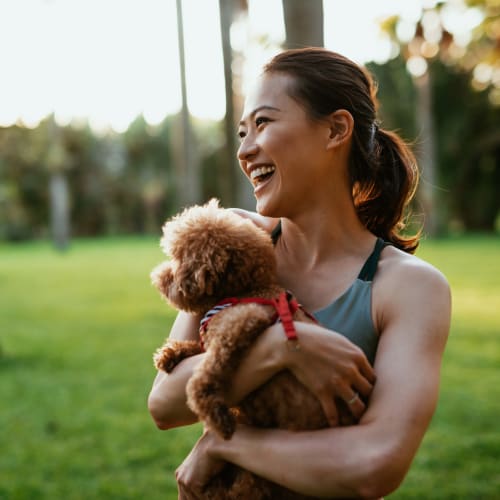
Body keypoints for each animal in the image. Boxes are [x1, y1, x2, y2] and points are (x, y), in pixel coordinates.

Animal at [152, 199, 346, 500]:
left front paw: (213, 413)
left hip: (263, 471)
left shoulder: (240, 323)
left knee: (246, 487)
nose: (158, 276)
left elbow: (205, 373)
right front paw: (171, 353)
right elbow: (200, 348)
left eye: (178, 260)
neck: (244, 291)